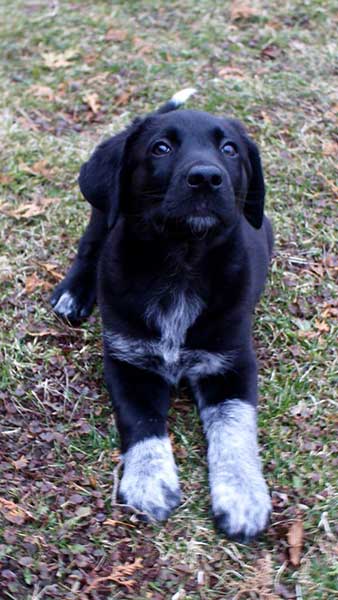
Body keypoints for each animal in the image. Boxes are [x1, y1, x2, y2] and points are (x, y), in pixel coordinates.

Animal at [51, 90, 274, 544]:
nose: (206, 178)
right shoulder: (127, 361)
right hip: (103, 214)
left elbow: (235, 428)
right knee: (90, 246)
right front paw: (149, 482)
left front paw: (243, 495)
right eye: (161, 148)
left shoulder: (232, 362)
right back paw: (73, 293)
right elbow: (142, 423)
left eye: (230, 150)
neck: (180, 263)